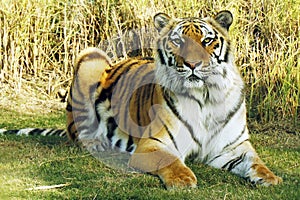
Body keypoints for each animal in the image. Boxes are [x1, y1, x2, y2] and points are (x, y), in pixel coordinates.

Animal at [1, 10, 282, 189]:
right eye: (177, 41)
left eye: (207, 40)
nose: (192, 64)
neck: (205, 97)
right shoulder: (153, 144)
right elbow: (172, 162)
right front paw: (183, 180)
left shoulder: (233, 147)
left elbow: (257, 163)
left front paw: (271, 178)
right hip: (91, 55)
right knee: (79, 132)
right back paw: (97, 143)